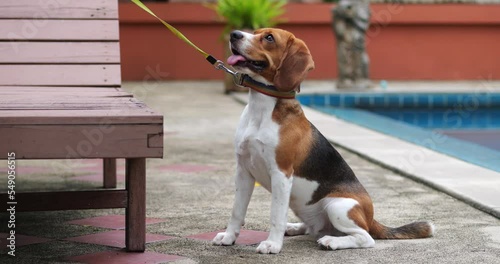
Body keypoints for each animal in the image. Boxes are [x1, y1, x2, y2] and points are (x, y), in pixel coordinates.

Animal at [213, 28, 436, 254]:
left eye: (269, 38)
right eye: (254, 31)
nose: (234, 34)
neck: (261, 108)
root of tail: (371, 218)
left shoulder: (281, 173)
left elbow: (276, 214)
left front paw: (272, 244)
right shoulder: (243, 171)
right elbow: (236, 211)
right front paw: (229, 237)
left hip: (337, 206)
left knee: (365, 238)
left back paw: (332, 241)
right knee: (313, 228)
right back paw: (294, 228)